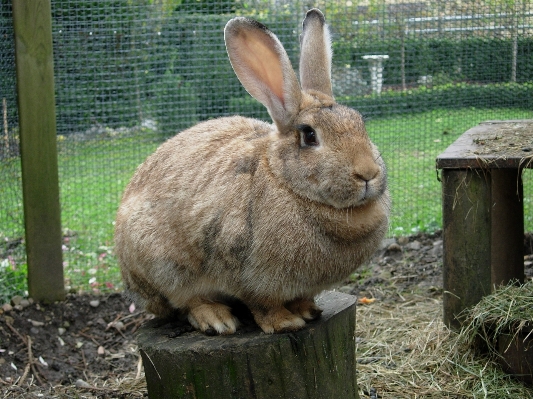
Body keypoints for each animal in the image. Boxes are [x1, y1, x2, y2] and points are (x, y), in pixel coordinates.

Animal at [114, 7, 388, 336]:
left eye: (360, 122)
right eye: (309, 136)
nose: (368, 173)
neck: (284, 180)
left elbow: (300, 297)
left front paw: (307, 310)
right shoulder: (247, 273)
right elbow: (262, 304)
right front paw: (285, 322)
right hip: (164, 266)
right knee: (186, 300)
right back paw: (217, 319)